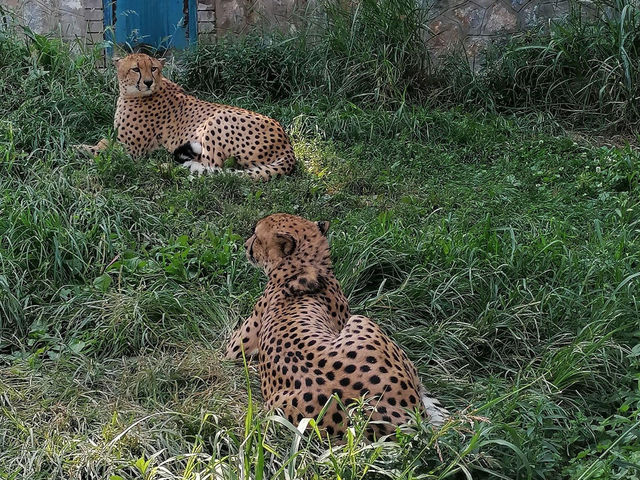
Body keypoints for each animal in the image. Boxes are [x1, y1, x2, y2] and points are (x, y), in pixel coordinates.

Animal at [77, 52, 296, 180]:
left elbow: (104, 149)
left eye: (153, 68)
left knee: (212, 168)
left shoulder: (133, 150)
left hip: (217, 118)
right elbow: (103, 142)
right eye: (136, 69)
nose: (148, 82)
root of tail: (287, 146)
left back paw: (165, 166)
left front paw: (80, 150)